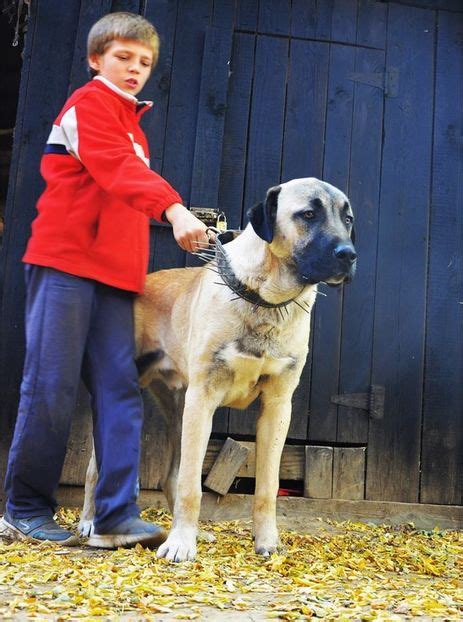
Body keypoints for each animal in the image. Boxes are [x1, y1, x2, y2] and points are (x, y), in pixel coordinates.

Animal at [80, 178, 358, 564]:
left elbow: (267, 486)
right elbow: (191, 485)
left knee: (170, 476)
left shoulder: (277, 406)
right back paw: (91, 523)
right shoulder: (204, 398)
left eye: (348, 218)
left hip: (180, 409)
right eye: (308, 214)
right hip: (141, 398)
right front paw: (180, 544)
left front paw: (267, 541)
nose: (349, 254)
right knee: (97, 468)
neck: (265, 299)